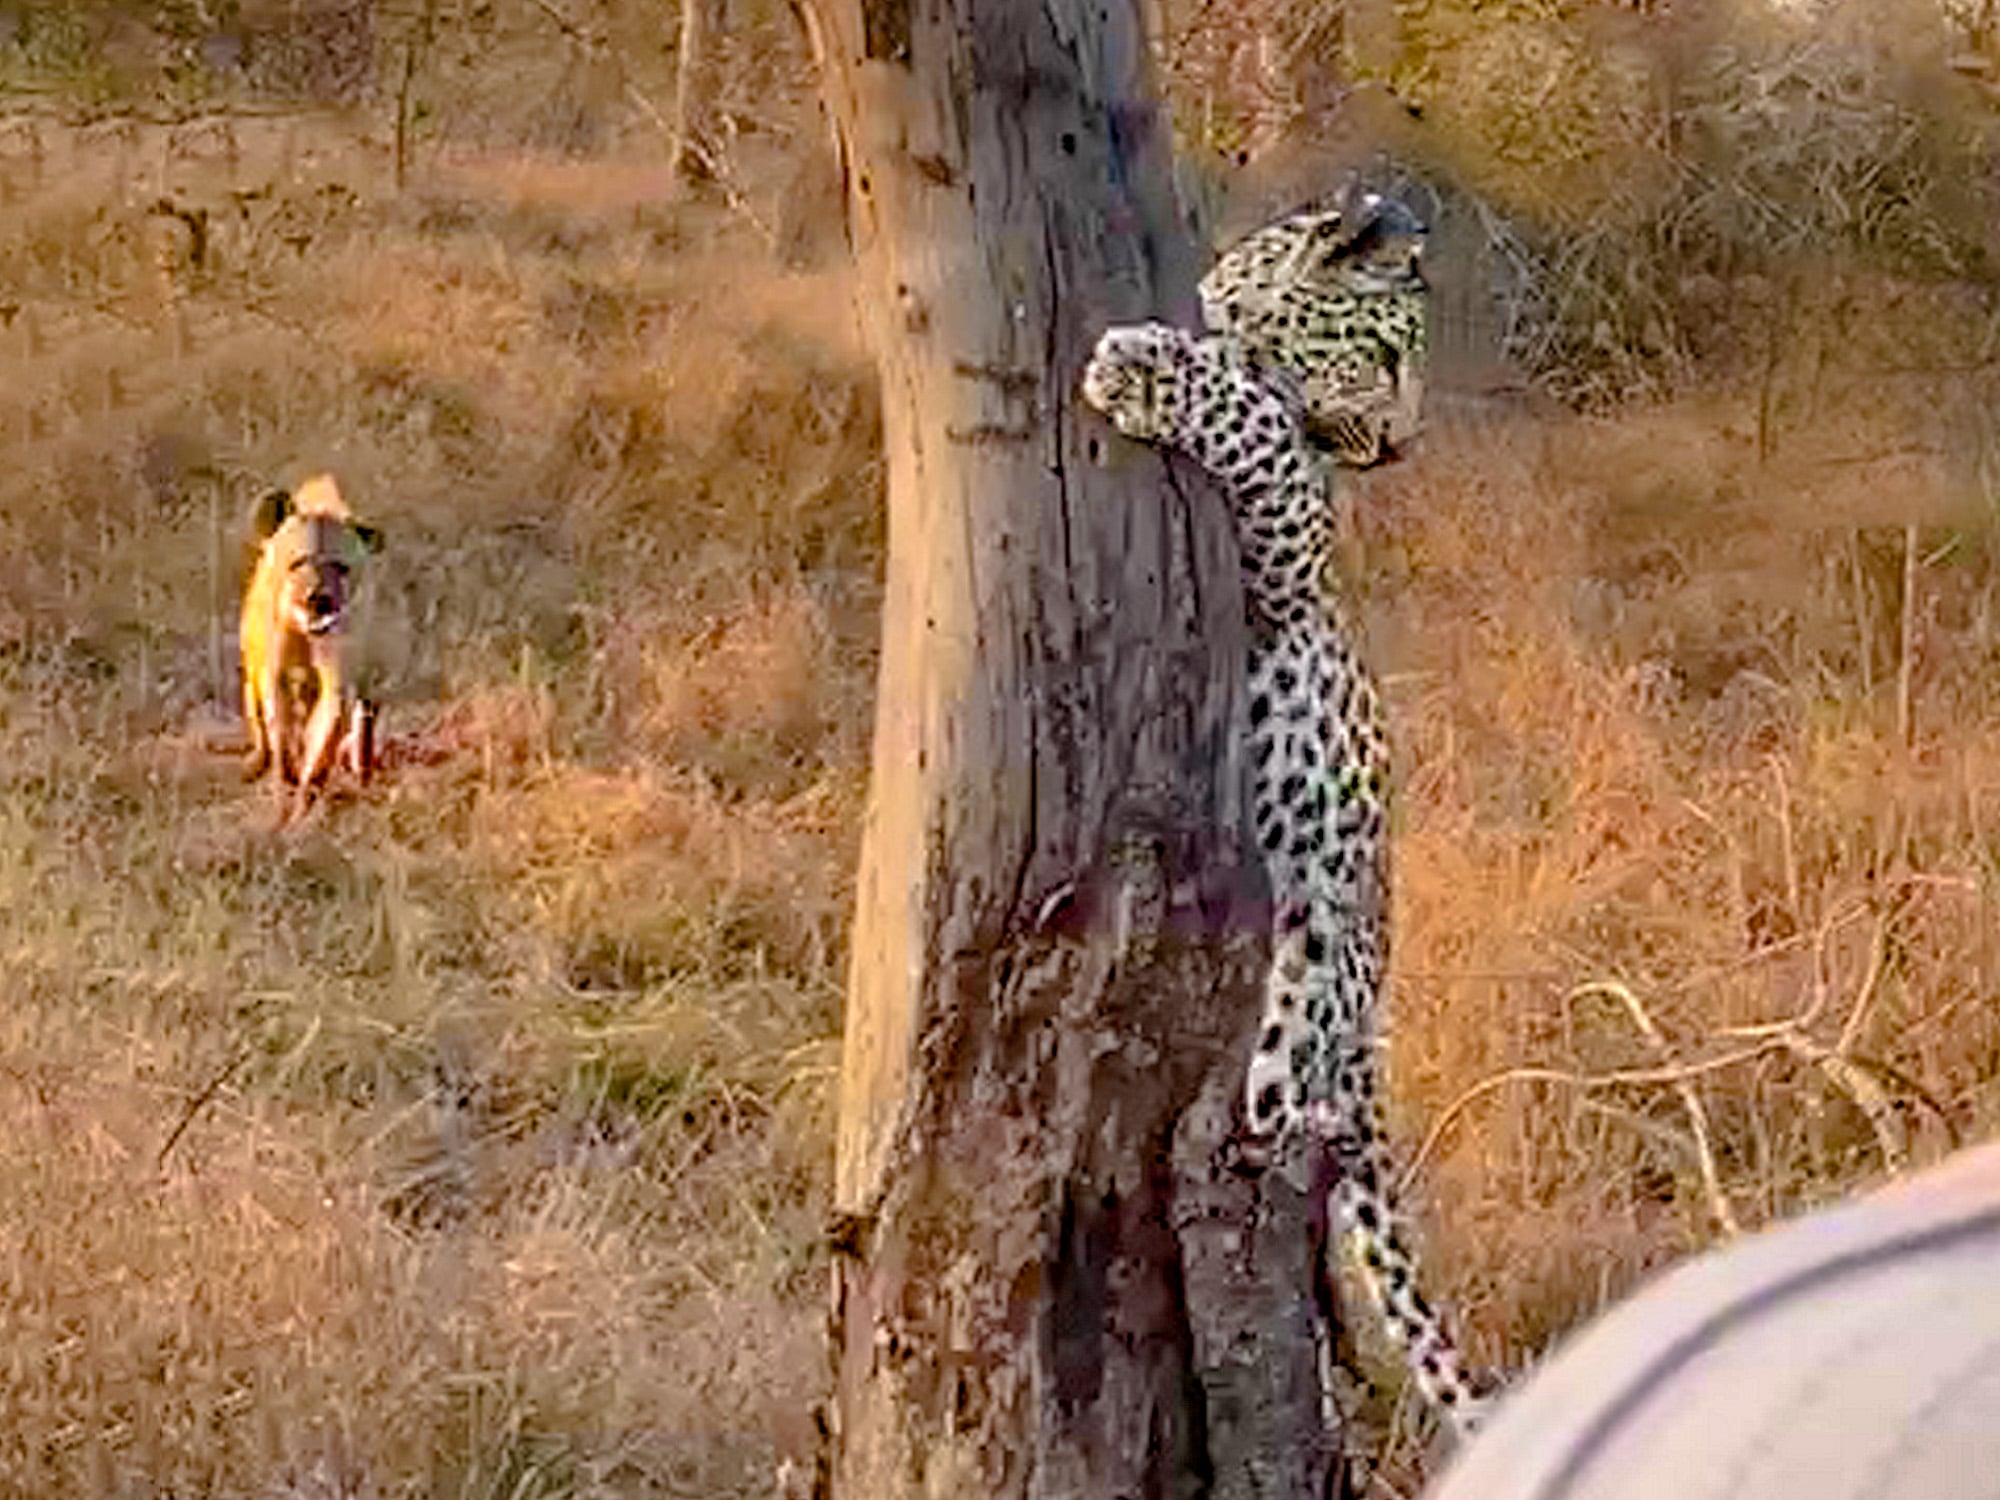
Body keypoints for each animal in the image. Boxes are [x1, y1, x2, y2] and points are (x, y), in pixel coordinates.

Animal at [239, 473, 385, 822]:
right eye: (299, 562)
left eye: (341, 566)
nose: (319, 599)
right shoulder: (274, 673)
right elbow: (280, 730)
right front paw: (287, 776)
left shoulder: (338, 680)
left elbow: (323, 744)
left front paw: (304, 808)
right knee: (256, 706)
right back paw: (258, 761)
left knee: (365, 715)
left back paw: (362, 771)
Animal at [1081, 321, 1485, 1442]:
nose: (1398, 441)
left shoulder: (1284, 552)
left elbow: (1253, 429)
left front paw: (1144, 370)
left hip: (1305, 981)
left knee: (1272, 1109)